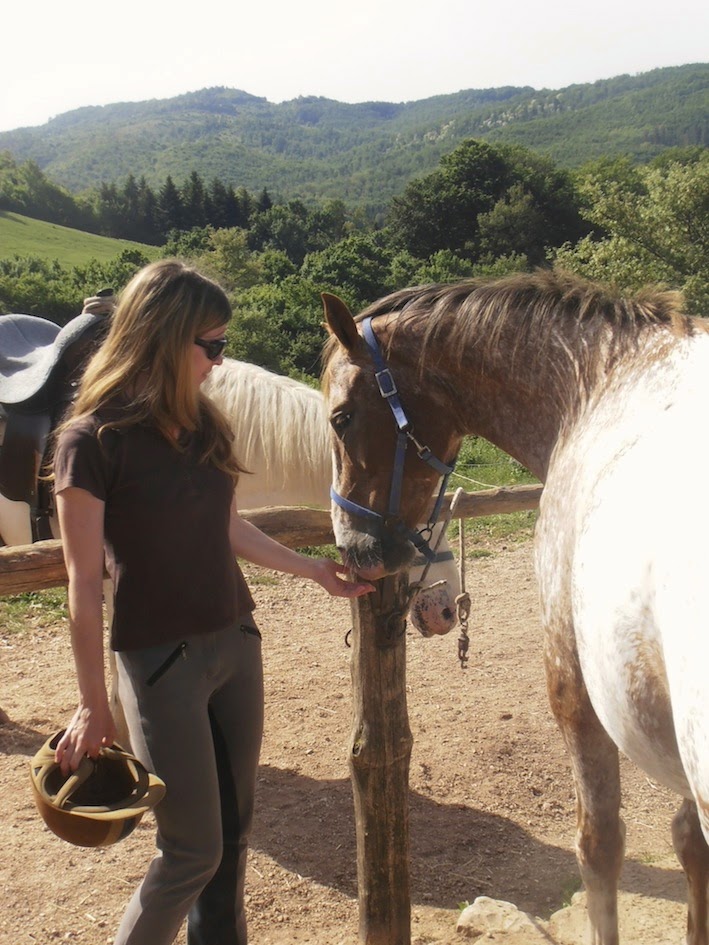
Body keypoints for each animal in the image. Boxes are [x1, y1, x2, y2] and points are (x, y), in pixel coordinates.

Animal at [324, 272, 708, 944]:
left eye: (341, 418)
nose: (353, 549)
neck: (600, 381)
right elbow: (690, 851)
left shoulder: (573, 684)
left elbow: (599, 845)